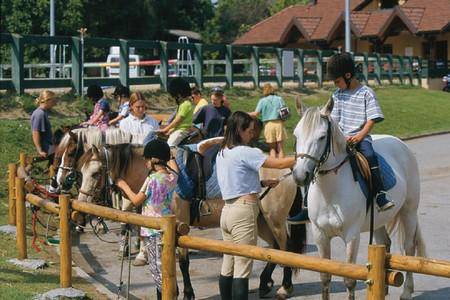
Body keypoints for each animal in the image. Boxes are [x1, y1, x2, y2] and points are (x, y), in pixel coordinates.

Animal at [292, 98, 426, 300]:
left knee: (409, 250)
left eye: (322, 137)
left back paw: (406, 292)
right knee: (385, 243)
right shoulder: (320, 234)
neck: (330, 193)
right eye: (296, 135)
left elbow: (349, 279)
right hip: (378, 220)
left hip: (408, 212)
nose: (300, 176)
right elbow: (325, 275)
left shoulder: (352, 236)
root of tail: (400, 143)